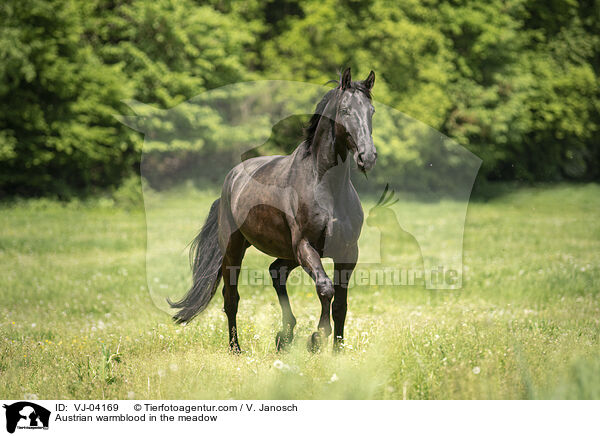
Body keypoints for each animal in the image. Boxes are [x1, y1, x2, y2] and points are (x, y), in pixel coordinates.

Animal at [168, 68, 376, 352]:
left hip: (287, 253)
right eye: (345, 110)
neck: (326, 186)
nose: (368, 157)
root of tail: (231, 179)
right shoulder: (306, 246)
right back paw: (236, 349)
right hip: (235, 249)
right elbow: (325, 289)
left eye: (371, 111)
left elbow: (341, 305)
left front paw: (337, 352)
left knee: (276, 272)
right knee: (231, 298)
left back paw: (284, 336)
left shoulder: (347, 252)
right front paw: (317, 338)